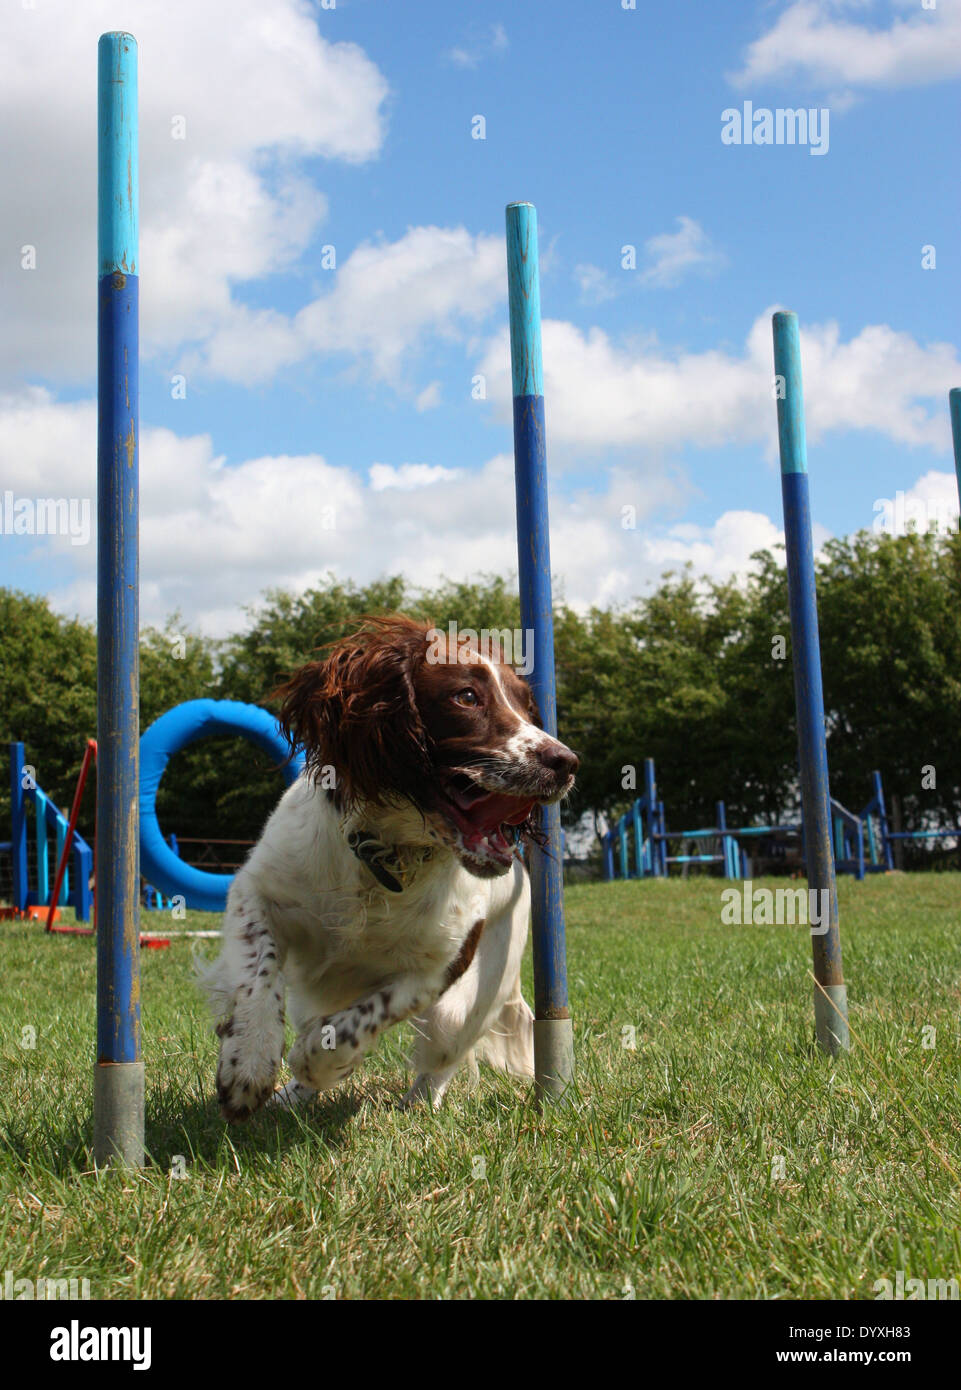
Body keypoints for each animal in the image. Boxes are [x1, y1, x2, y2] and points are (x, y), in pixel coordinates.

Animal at [201, 619, 578, 1117]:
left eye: (527, 706)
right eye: (466, 696)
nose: (566, 763)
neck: (386, 856)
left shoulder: (438, 970)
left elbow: (359, 1022)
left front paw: (317, 1059)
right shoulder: (256, 892)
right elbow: (257, 975)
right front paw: (249, 1064)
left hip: (463, 1007)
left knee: (440, 1063)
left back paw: (416, 1104)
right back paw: (291, 1096)